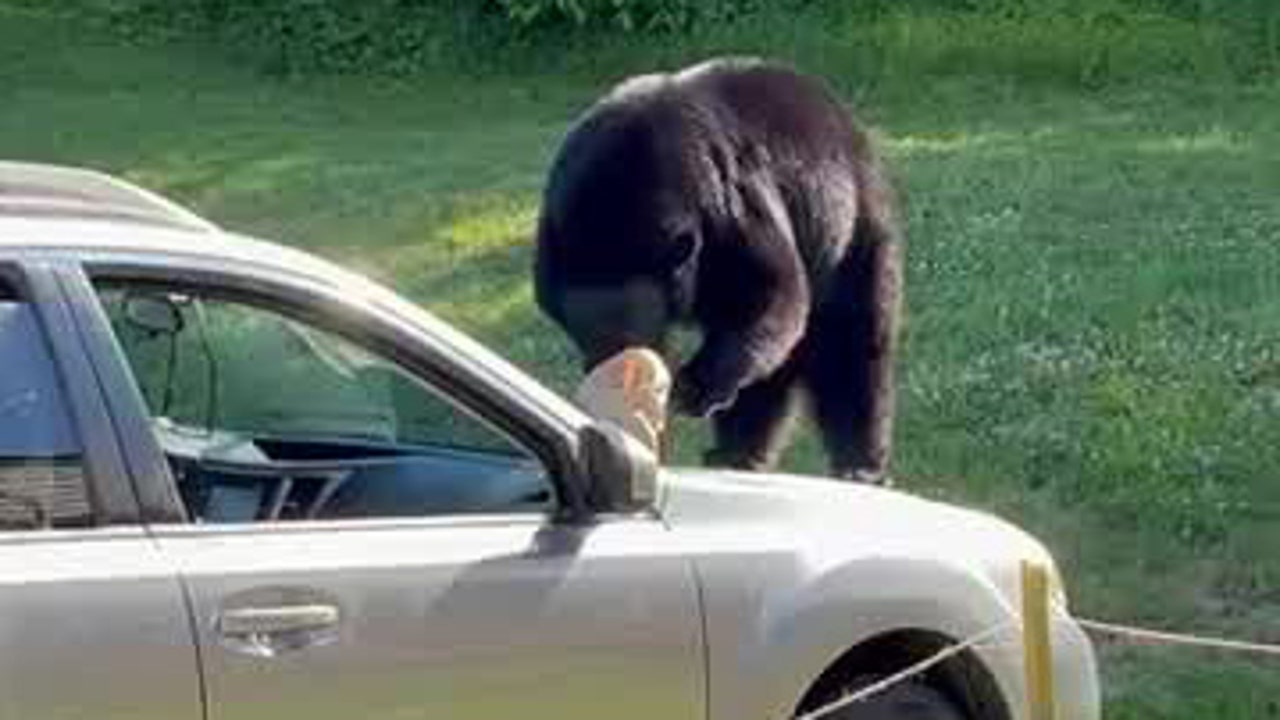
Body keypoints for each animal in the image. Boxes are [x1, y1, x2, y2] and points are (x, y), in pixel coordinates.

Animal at [535, 57, 906, 481]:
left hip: (853, 235)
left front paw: (692, 388)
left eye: (629, 311)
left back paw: (860, 465)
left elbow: (773, 292)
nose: (609, 359)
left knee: (852, 348)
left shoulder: (728, 206)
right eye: (585, 319)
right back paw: (736, 453)